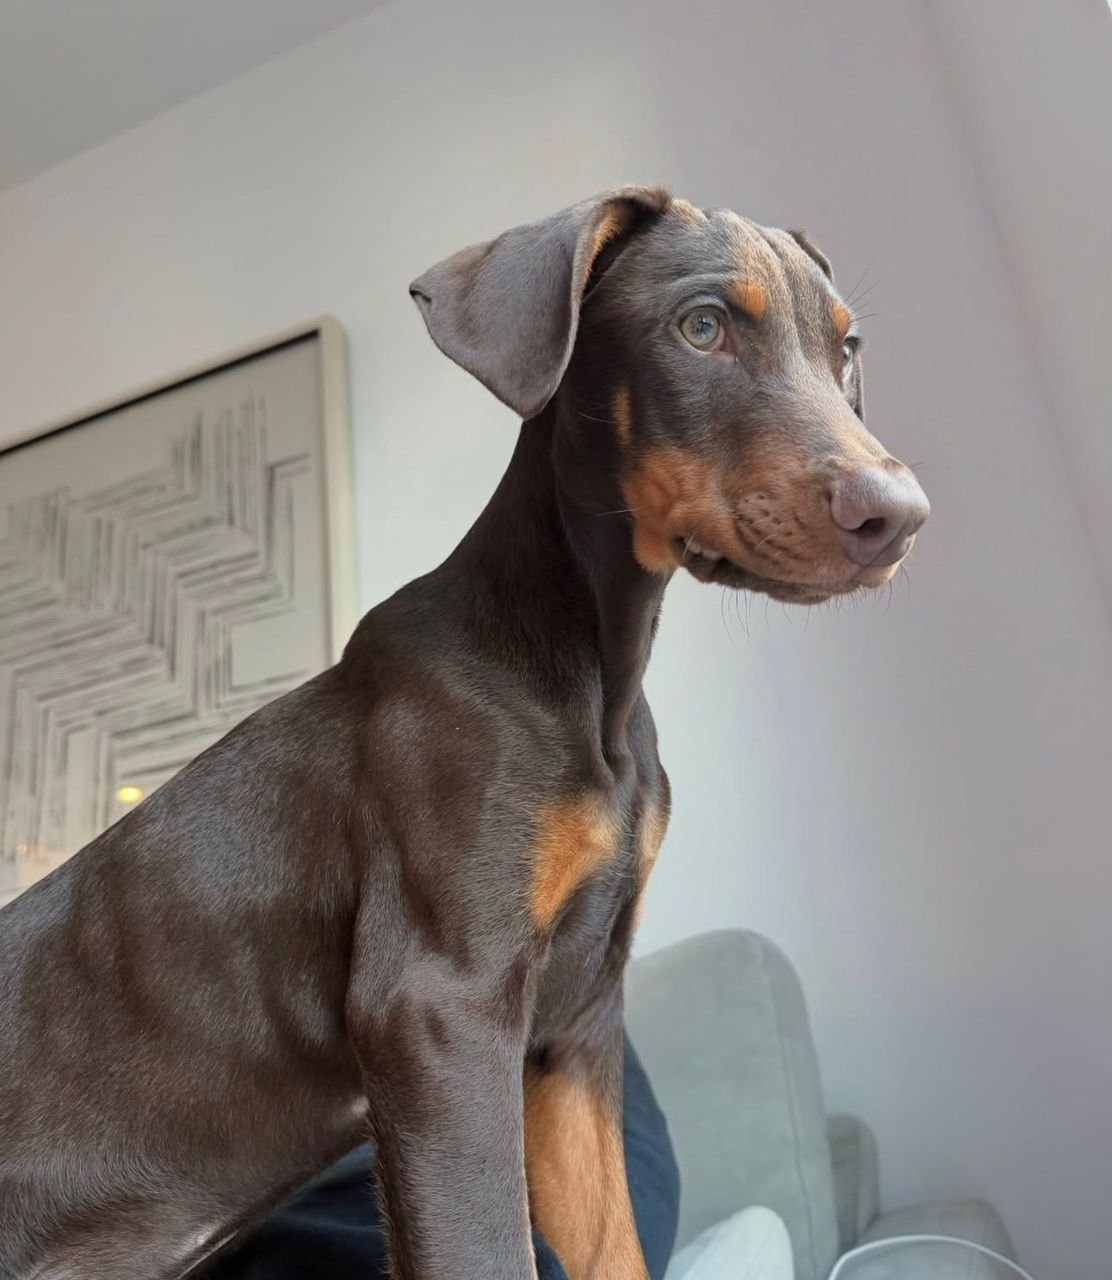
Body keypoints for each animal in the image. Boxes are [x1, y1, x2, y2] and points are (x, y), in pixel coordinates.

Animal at [0, 186, 928, 1280]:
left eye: (845, 348)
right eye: (701, 327)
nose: (900, 517)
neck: (590, 674)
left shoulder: (573, 1029)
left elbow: (610, 1244)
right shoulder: (441, 1006)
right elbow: (492, 1245)